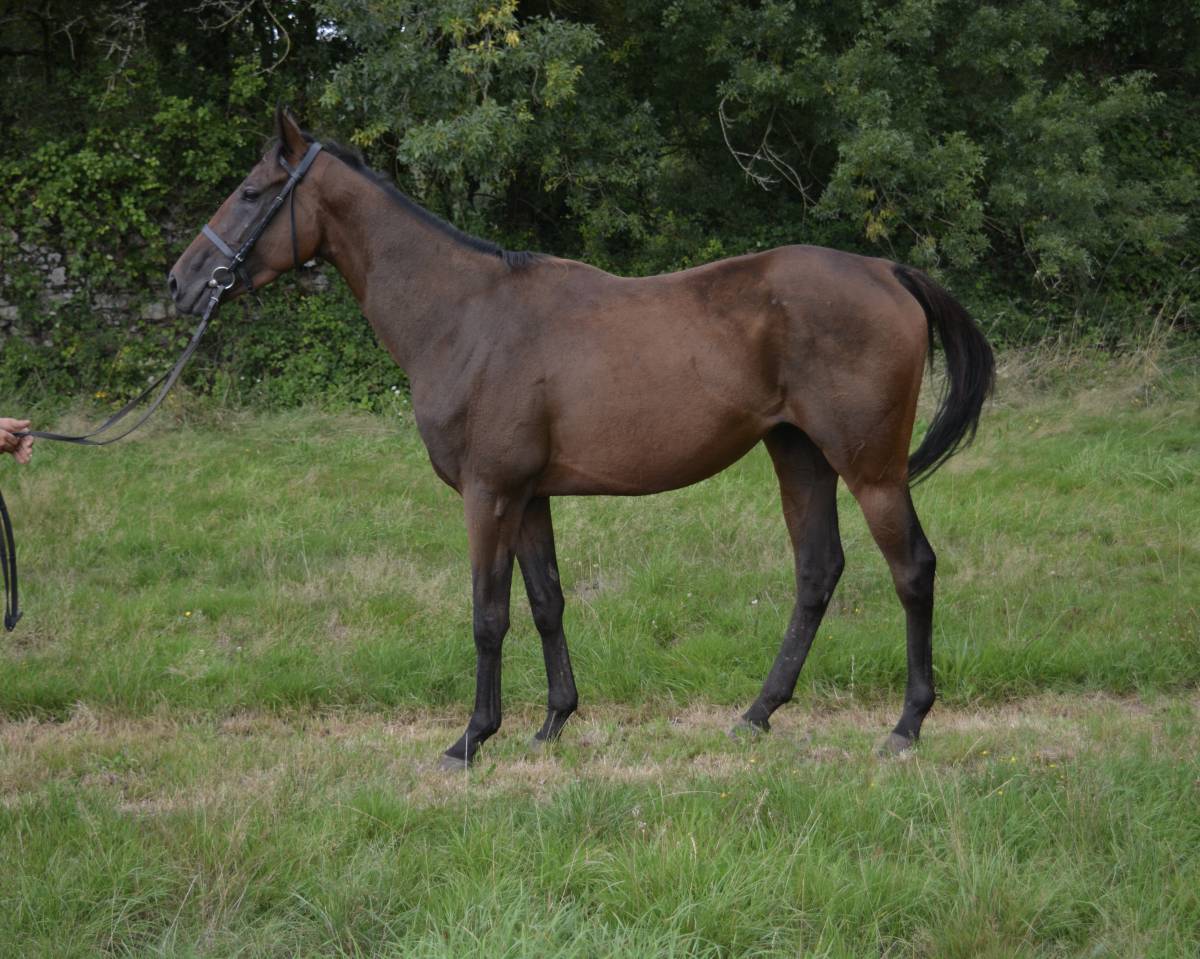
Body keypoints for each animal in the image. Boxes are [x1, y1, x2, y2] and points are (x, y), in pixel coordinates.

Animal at [170, 108, 994, 769]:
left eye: (252, 193)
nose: (181, 283)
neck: (464, 314)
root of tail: (885, 270)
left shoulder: (489, 493)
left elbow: (488, 615)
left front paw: (471, 738)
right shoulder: (528, 497)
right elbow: (546, 603)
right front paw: (552, 723)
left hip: (871, 468)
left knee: (912, 569)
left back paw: (906, 725)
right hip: (799, 455)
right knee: (817, 572)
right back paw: (757, 713)